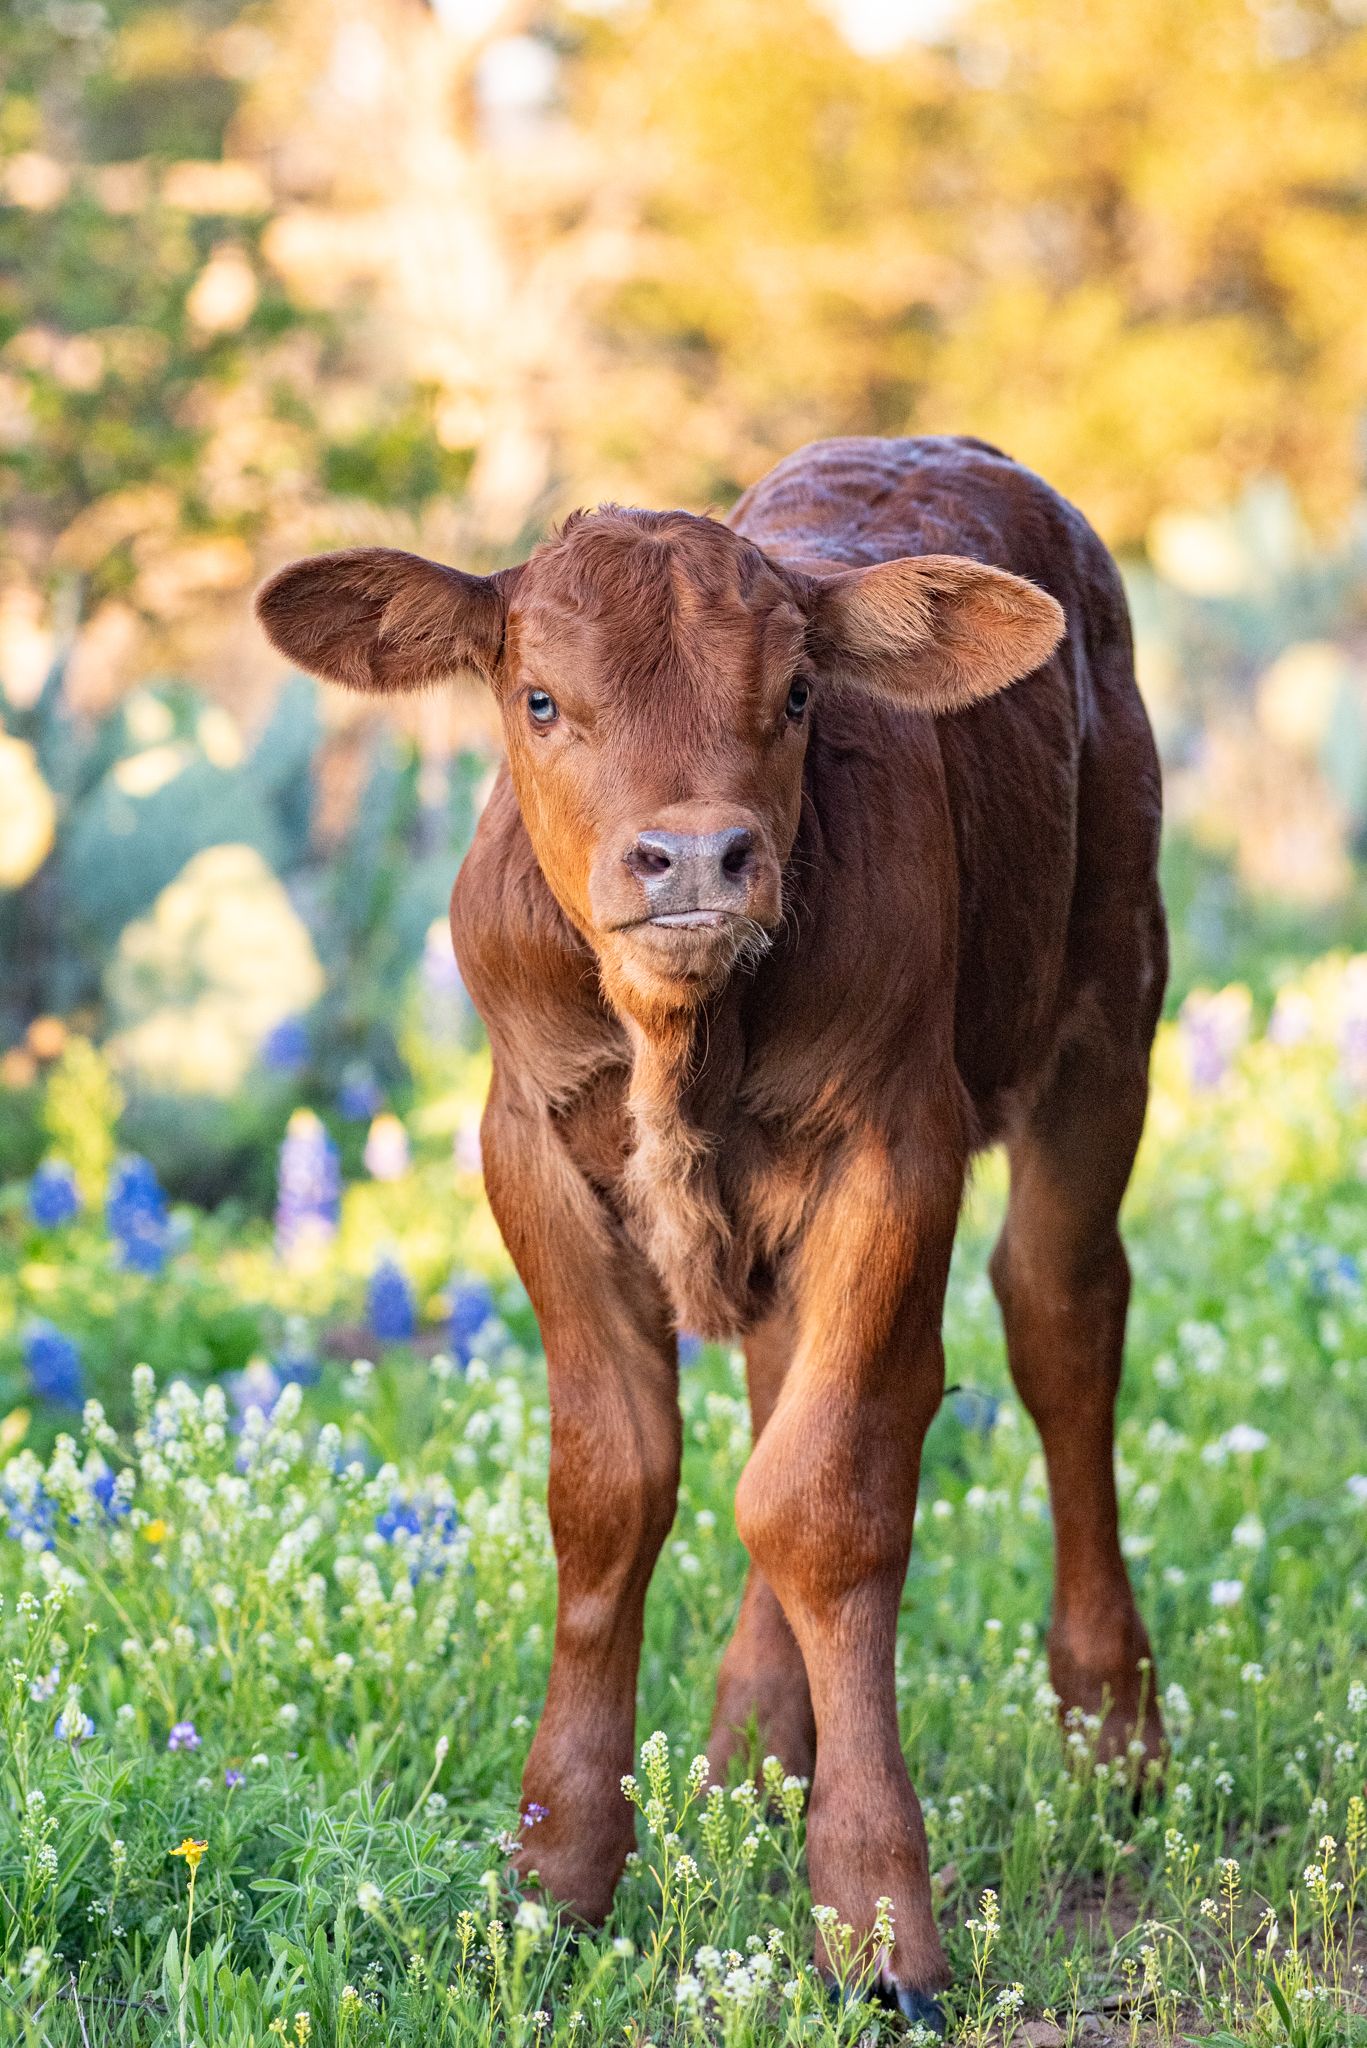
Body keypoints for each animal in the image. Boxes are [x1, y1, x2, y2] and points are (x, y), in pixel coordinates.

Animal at [256, 432, 1164, 2015]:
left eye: (794, 696)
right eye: (540, 697)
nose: (692, 858)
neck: (682, 1033)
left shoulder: (895, 1145)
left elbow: (825, 1496)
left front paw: (874, 1915)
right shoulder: (526, 1148)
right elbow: (612, 1488)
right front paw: (555, 1871)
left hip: (1110, 1005)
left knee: (1058, 1318)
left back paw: (1110, 1728)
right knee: (779, 1386)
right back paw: (749, 1753)